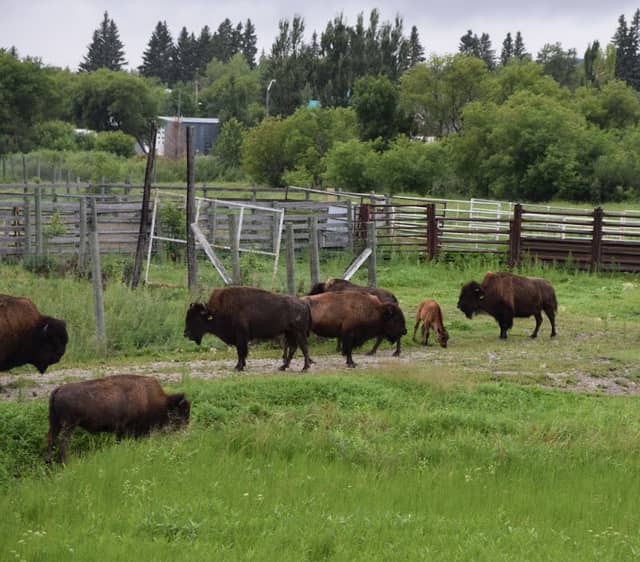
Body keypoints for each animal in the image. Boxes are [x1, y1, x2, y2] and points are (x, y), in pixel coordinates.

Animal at [46, 375, 190, 464]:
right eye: (182, 412)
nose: (186, 429)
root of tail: (58, 389)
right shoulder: (127, 429)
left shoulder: (121, 431)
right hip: (69, 425)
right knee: (63, 443)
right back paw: (67, 462)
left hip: (55, 423)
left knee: (51, 439)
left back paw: (49, 463)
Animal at [184, 286, 312, 372]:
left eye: (196, 318)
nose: (185, 333)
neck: (215, 311)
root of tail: (303, 303)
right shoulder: (239, 338)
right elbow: (240, 352)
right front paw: (239, 366)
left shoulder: (241, 336)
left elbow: (241, 351)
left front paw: (238, 367)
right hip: (290, 332)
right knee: (294, 348)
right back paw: (283, 367)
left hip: (298, 332)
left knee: (304, 347)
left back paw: (304, 368)